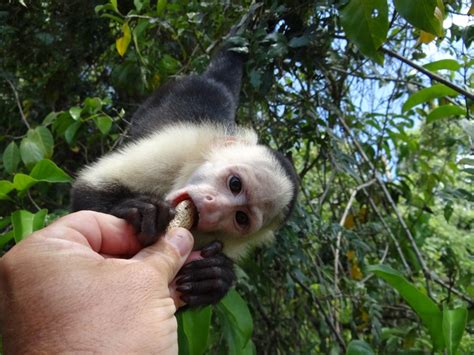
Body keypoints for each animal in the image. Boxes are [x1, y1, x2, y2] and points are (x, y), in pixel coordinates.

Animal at [71, 48, 298, 308]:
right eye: (235, 184)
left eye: (241, 218)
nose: (212, 206)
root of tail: (216, 84)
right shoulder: (177, 149)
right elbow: (88, 189)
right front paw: (141, 211)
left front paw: (214, 277)